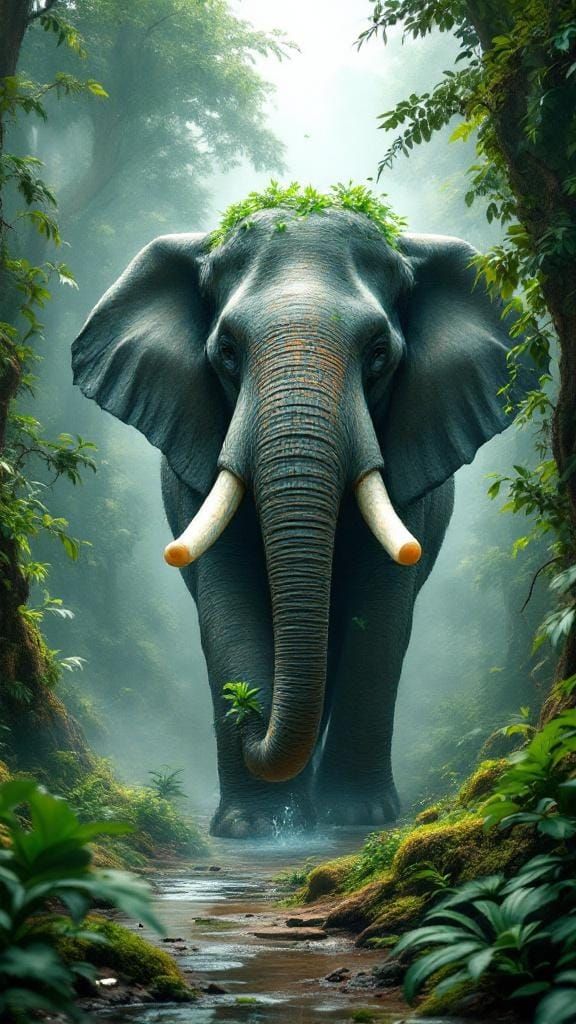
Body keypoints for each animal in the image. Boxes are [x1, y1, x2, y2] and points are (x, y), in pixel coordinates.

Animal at [71, 204, 529, 838]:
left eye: (379, 354)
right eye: (228, 351)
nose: (247, 712)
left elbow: (380, 610)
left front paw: (358, 819)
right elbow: (228, 602)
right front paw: (252, 829)